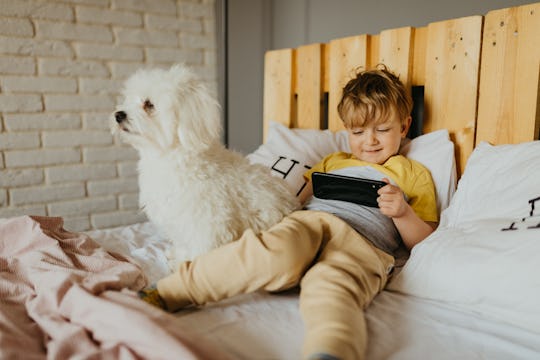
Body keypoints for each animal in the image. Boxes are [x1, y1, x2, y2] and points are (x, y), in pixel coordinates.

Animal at [113, 64, 300, 268]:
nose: (118, 114)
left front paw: (186, 266)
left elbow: (201, 251)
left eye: (149, 104)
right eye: (128, 100)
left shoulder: (209, 224)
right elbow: (182, 241)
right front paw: (178, 255)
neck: (171, 156)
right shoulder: (178, 220)